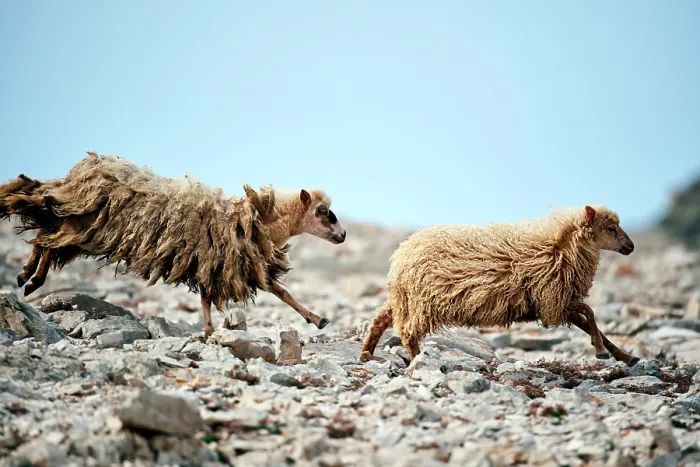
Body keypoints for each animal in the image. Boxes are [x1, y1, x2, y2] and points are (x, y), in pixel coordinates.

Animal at [0, 151, 347, 338]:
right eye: (322, 211)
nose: (343, 235)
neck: (259, 218)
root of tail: (82, 170)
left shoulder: (219, 262)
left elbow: (262, 293)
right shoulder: (226, 261)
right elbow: (280, 292)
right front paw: (317, 319)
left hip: (78, 226)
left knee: (46, 238)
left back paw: (27, 278)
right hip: (82, 225)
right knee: (46, 239)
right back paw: (31, 279)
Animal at [359, 205, 641, 367]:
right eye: (611, 228)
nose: (631, 247)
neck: (559, 249)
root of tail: (401, 254)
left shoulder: (554, 304)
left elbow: (590, 322)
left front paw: (624, 356)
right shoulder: (553, 301)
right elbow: (590, 314)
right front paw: (602, 351)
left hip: (404, 298)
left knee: (380, 319)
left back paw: (366, 353)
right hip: (422, 301)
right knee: (407, 331)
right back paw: (416, 359)